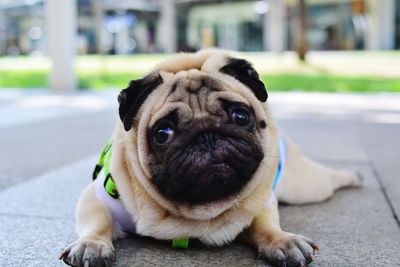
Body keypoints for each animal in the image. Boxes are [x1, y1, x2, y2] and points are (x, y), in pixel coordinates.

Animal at [60, 49, 362, 266]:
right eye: (162, 134)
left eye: (241, 116)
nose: (206, 136)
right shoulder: (98, 197)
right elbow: (96, 221)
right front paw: (91, 244)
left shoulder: (261, 201)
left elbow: (265, 224)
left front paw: (282, 241)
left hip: (305, 187)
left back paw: (353, 176)